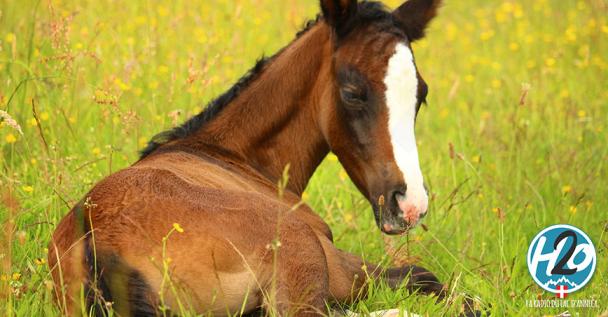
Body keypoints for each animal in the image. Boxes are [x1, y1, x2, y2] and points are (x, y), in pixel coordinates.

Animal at [48, 0, 446, 314]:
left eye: (422, 94)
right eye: (352, 92)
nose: (410, 205)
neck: (231, 155)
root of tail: (98, 246)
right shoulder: (340, 268)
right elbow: (426, 277)